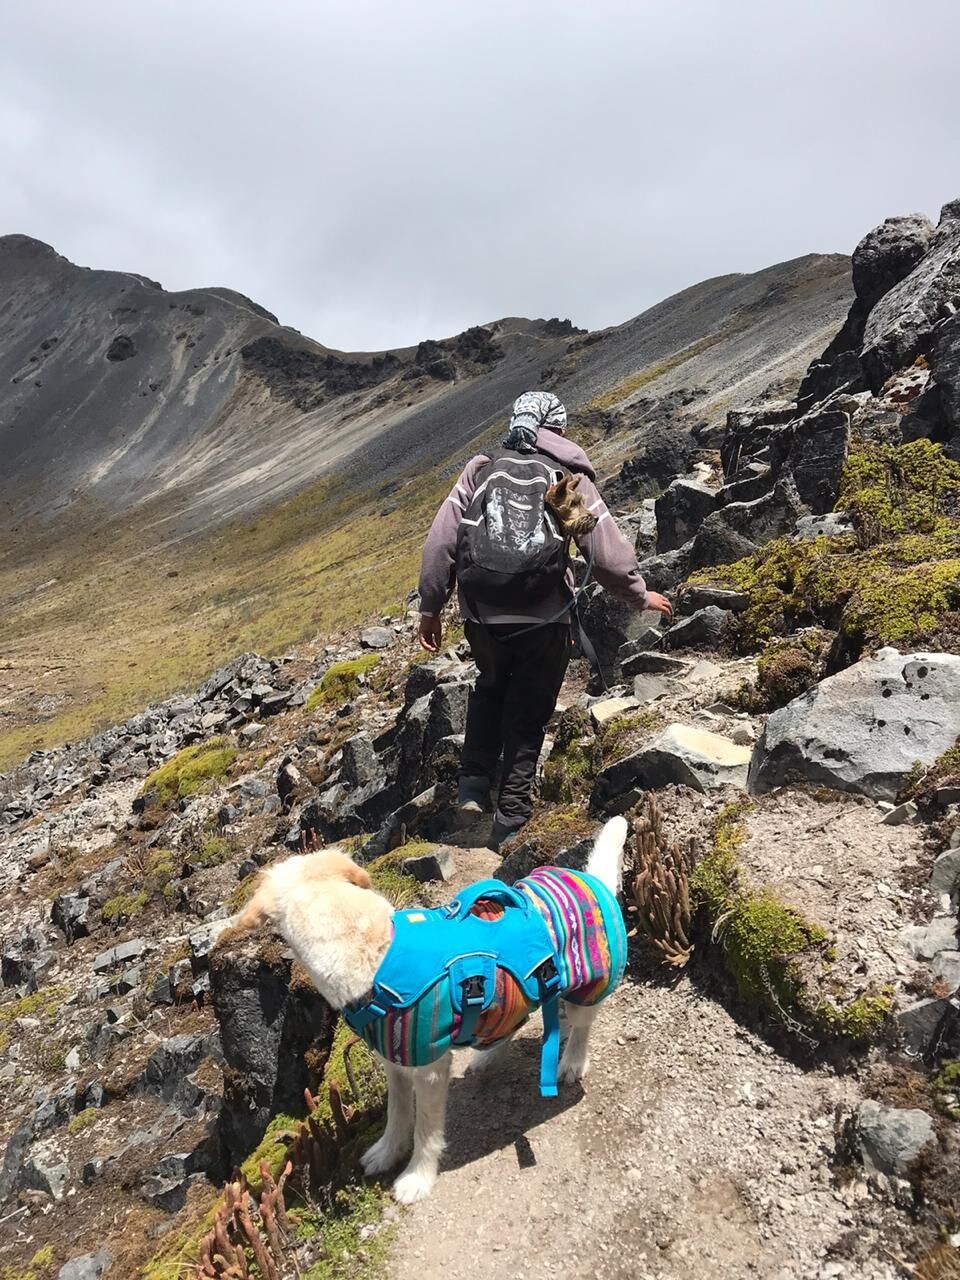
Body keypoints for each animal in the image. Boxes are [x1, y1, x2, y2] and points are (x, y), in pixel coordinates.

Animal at [235, 819, 632, 1198]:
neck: (371, 949)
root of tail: (592, 880)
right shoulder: (394, 1060)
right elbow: (397, 1113)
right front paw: (387, 1152)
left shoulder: (428, 1068)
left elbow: (425, 1130)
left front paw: (416, 1178)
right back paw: (488, 1055)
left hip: (588, 988)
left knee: (581, 1027)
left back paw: (572, 1062)